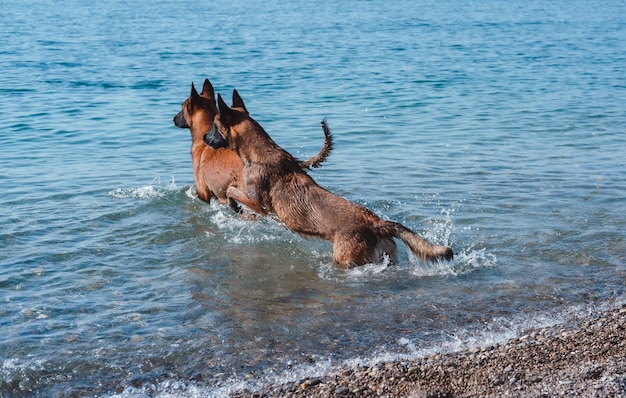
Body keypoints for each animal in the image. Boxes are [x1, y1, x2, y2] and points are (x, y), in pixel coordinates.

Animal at [205, 88, 454, 266]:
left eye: (215, 126)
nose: (205, 139)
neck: (260, 152)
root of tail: (376, 223)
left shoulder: (258, 203)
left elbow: (231, 190)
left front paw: (232, 204)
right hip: (388, 255)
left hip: (346, 258)